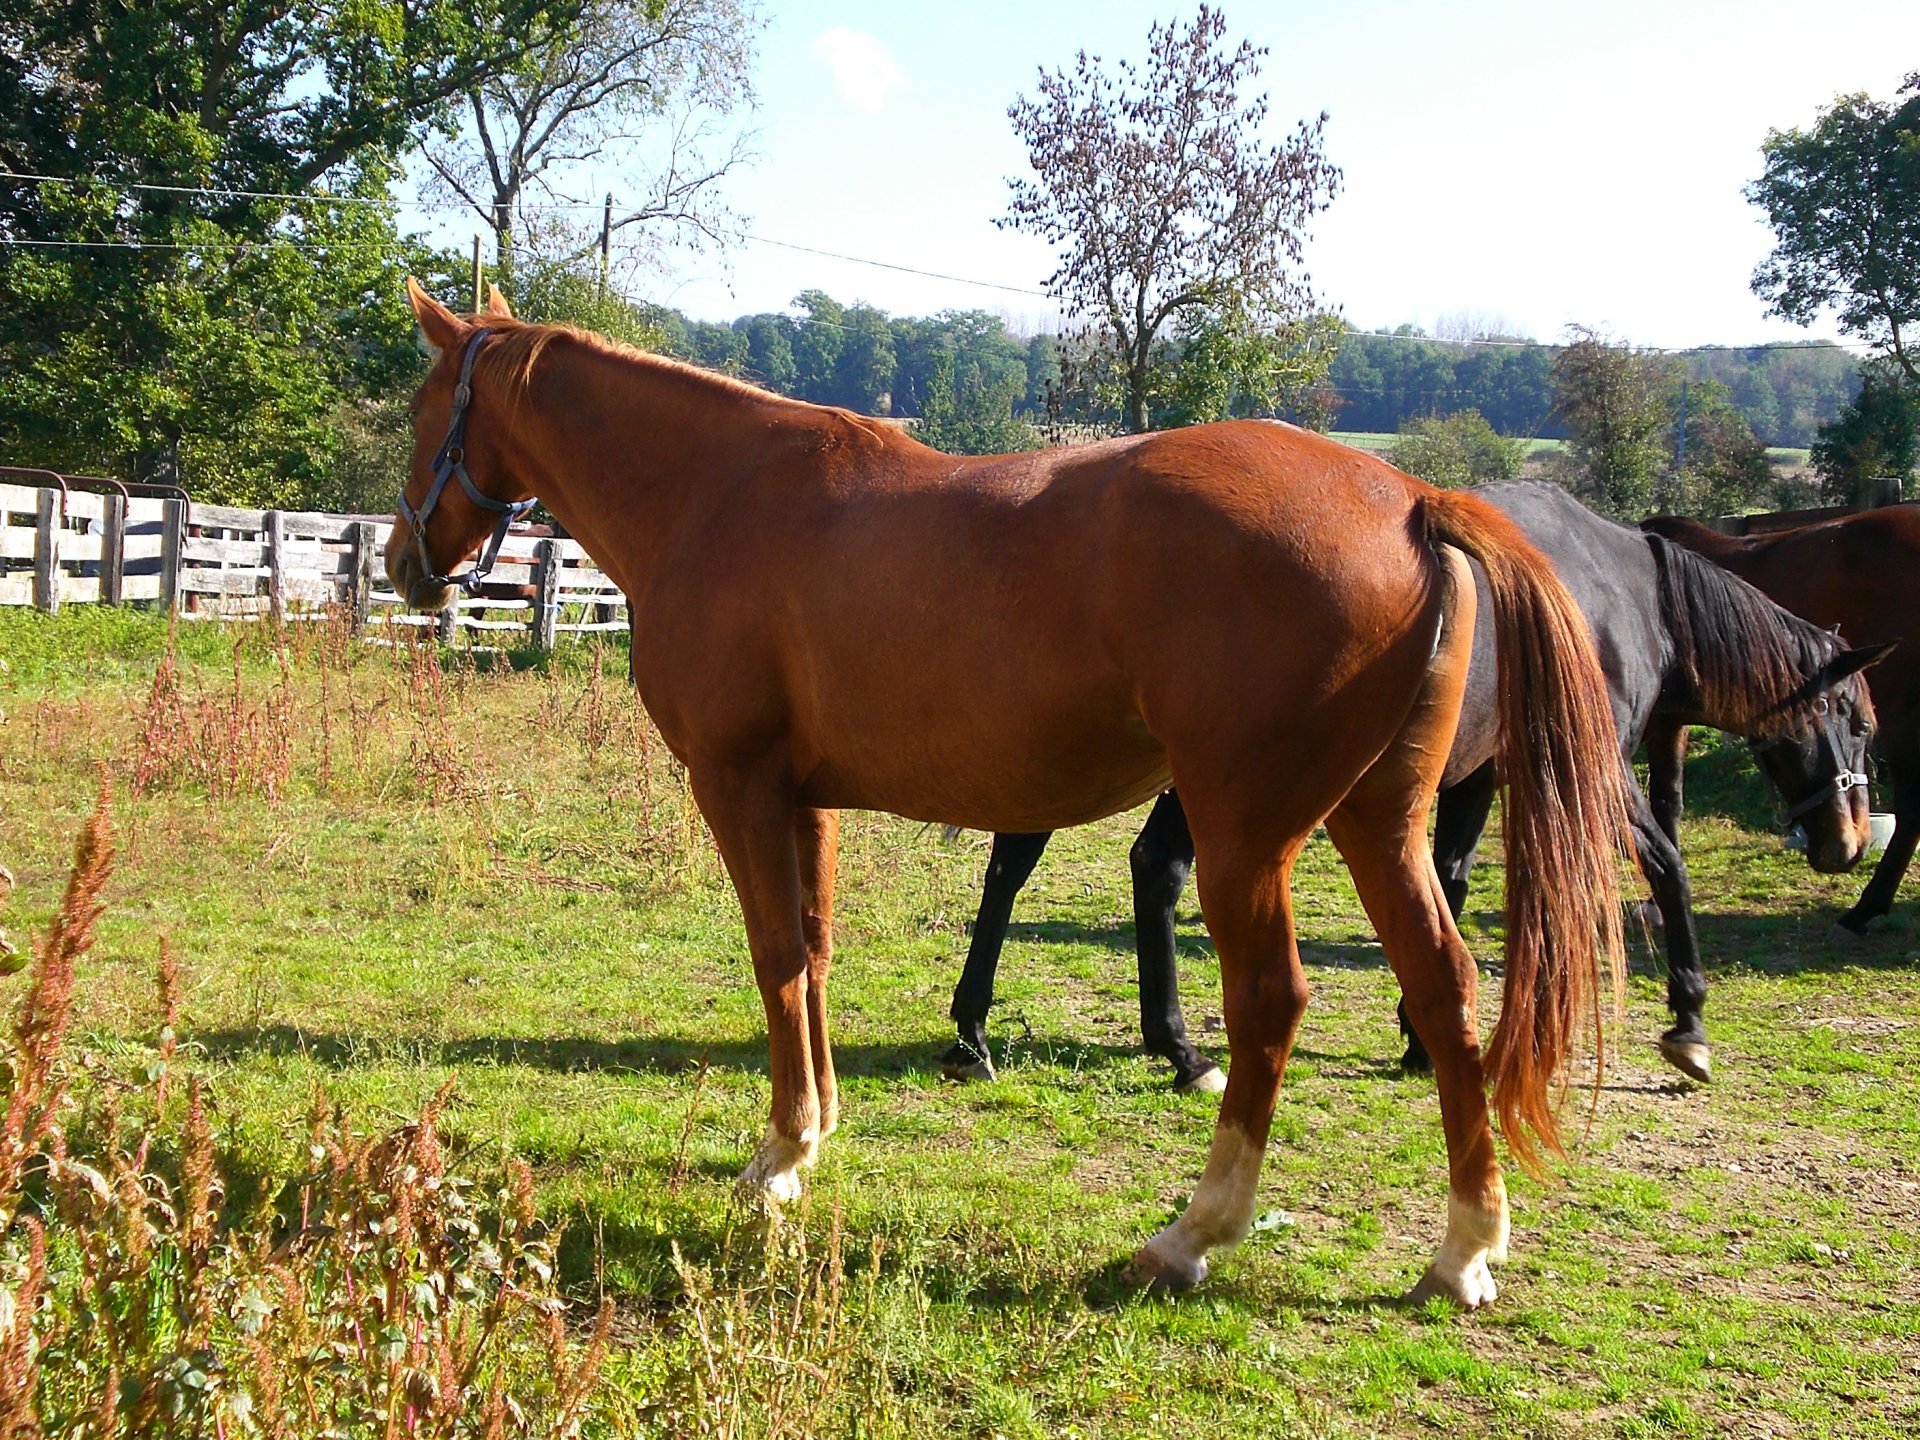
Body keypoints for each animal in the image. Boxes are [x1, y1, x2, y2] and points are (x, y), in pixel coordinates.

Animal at [389, 284, 1635, 1305]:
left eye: (419, 406)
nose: (406, 564)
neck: (720, 495)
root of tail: (1408, 496)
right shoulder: (803, 796)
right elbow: (815, 949)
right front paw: (817, 1129)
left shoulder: (735, 785)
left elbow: (776, 957)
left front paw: (779, 1156)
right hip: (1381, 824)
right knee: (1445, 986)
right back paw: (1464, 1247)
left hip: (1248, 836)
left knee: (1270, 1005)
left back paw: (1192, 1234)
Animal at [944, 485, 1889, 1090]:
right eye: (1860, 720)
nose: (1845, 839)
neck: (1619, 593)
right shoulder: (1589, 771)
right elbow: (1662, 865)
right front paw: (1688, 1023)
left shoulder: (1475, 778)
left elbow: (1454, 879)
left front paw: (1416, 1032)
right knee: (1090, 869)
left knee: (1106, 869)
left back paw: (1046, 1035)